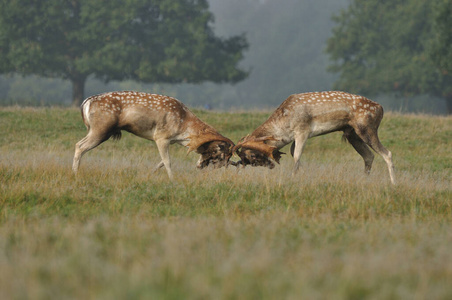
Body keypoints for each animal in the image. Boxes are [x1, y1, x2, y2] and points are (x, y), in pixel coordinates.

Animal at [72, 91, 235, 178]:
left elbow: (162, 161)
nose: (201, 166)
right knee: (79, 145)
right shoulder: (161, 136)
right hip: (101, 129)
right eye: (218, 153)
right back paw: (75, 173)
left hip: (96, 129)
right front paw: (172, 180)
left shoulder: (169, 140)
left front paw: (150, 174)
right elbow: (168, 161)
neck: (183, 127)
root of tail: (86, 102)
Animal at [233, 91, 396, 184]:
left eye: (252, 154)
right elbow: (294, 154)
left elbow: (296, 156)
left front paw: (292, 178)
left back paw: (394, 184)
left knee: (387, 153)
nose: (270, 165)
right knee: (368, 156)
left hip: (367, 128)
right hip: (352, 133)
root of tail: (381, 108)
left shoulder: (302, 129)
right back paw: (364, 181)